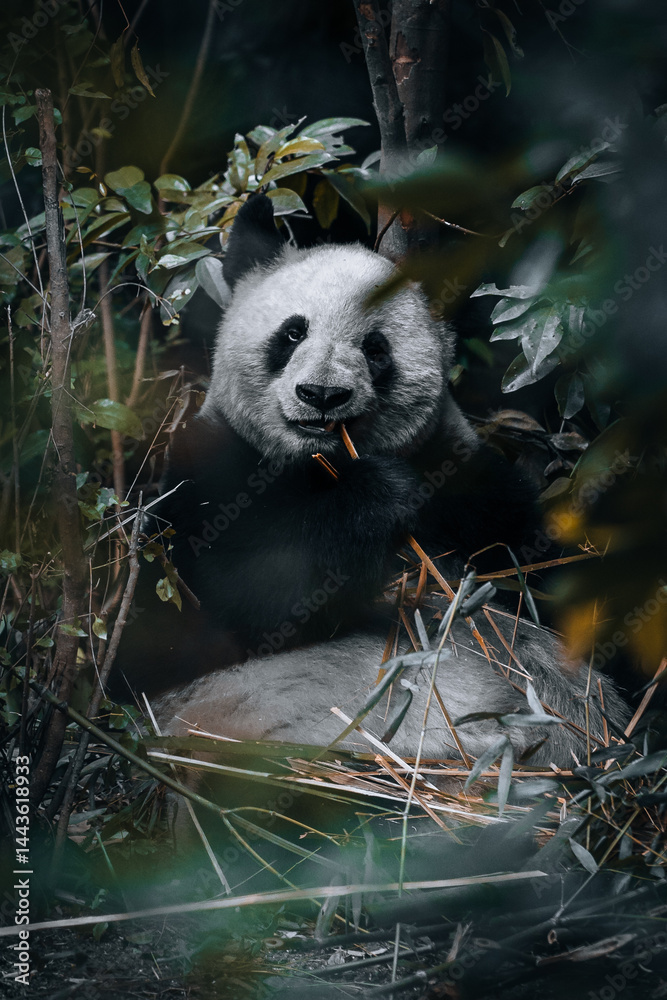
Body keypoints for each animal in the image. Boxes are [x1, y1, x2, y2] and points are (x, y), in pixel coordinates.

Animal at [123, 194, 628, 766]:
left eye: (375, 347)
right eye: (293, 332)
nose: (322, 395)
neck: (320, 466)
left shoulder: (467, 485)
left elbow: (540, 577)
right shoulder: (208, 479)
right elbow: (221, 602)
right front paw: (379, 495)